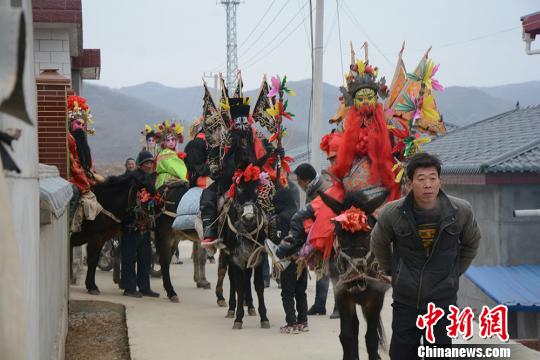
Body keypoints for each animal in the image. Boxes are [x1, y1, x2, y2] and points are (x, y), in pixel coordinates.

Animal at [220, 176, 268, 330]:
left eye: (257, 187)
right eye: (239, 187)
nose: (248, 218)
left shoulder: (259, 257)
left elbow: (259, 285)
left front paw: (264, 318)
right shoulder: (236, 259)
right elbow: (239, 287)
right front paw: (238, 318)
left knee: (247, 278)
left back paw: (251, 306)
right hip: (227, 256)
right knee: (232, 280)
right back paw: (231, 309)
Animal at [318, 191, 390, 360]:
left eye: (367, 233)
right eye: (338, 233)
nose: (353, 278)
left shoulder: (376, 299)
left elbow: (371, 338)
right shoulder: (342, 295)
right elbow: (346, 336)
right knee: (354, 328)